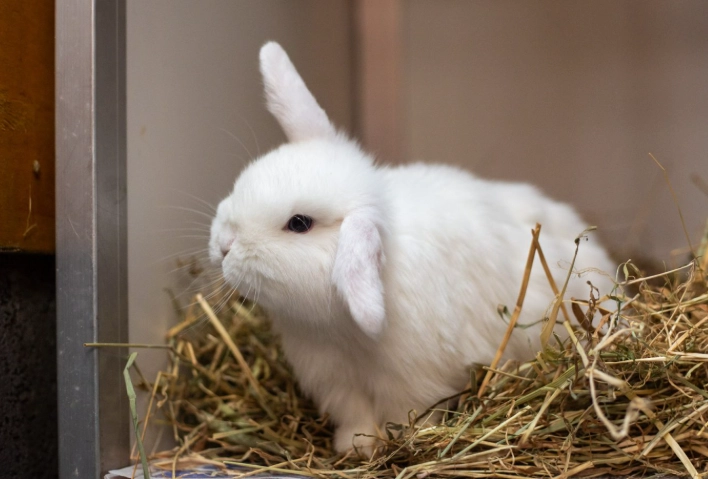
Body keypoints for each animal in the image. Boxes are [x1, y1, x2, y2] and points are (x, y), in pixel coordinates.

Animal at [208, 41, 616, 456]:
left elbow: (405, 415)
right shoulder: (336, 382)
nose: (223, 245)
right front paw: (354, 447)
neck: (339, 331)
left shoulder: (413, 383)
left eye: (299, 223)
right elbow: (355, 418)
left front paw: (396, 442)